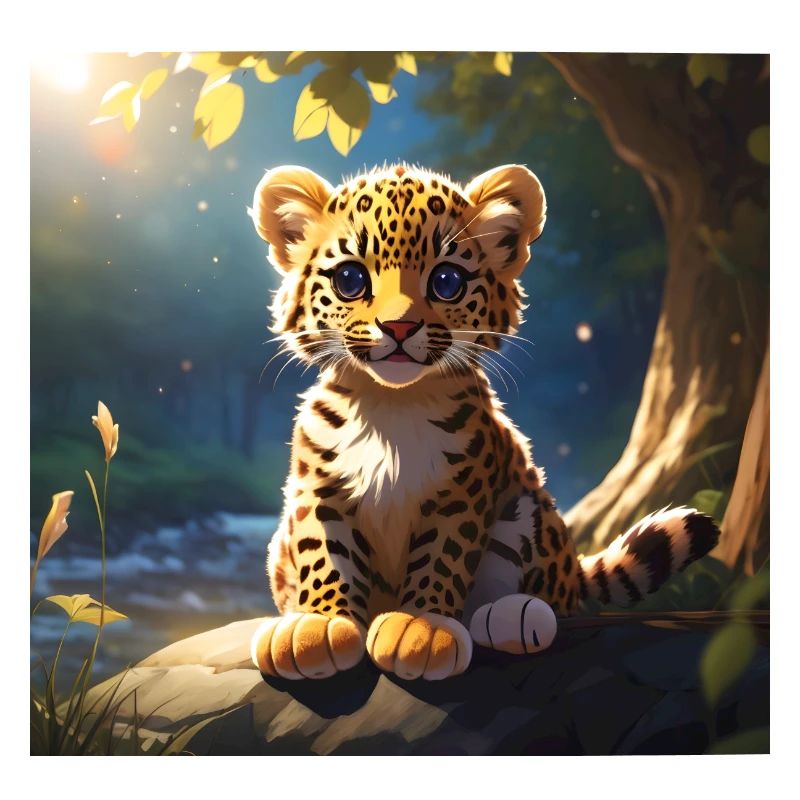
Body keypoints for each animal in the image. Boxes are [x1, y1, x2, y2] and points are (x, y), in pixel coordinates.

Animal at [247, 162, 720, 681]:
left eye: (446, 280)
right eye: (350, 279)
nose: (398, 327)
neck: (392, 406)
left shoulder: (461, 492)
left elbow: (443, 556)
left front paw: (420, 628)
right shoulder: (321, 490)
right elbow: (323, 555)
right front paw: (317, 626)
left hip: (529, 508)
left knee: (553, 595)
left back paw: (513, 616)